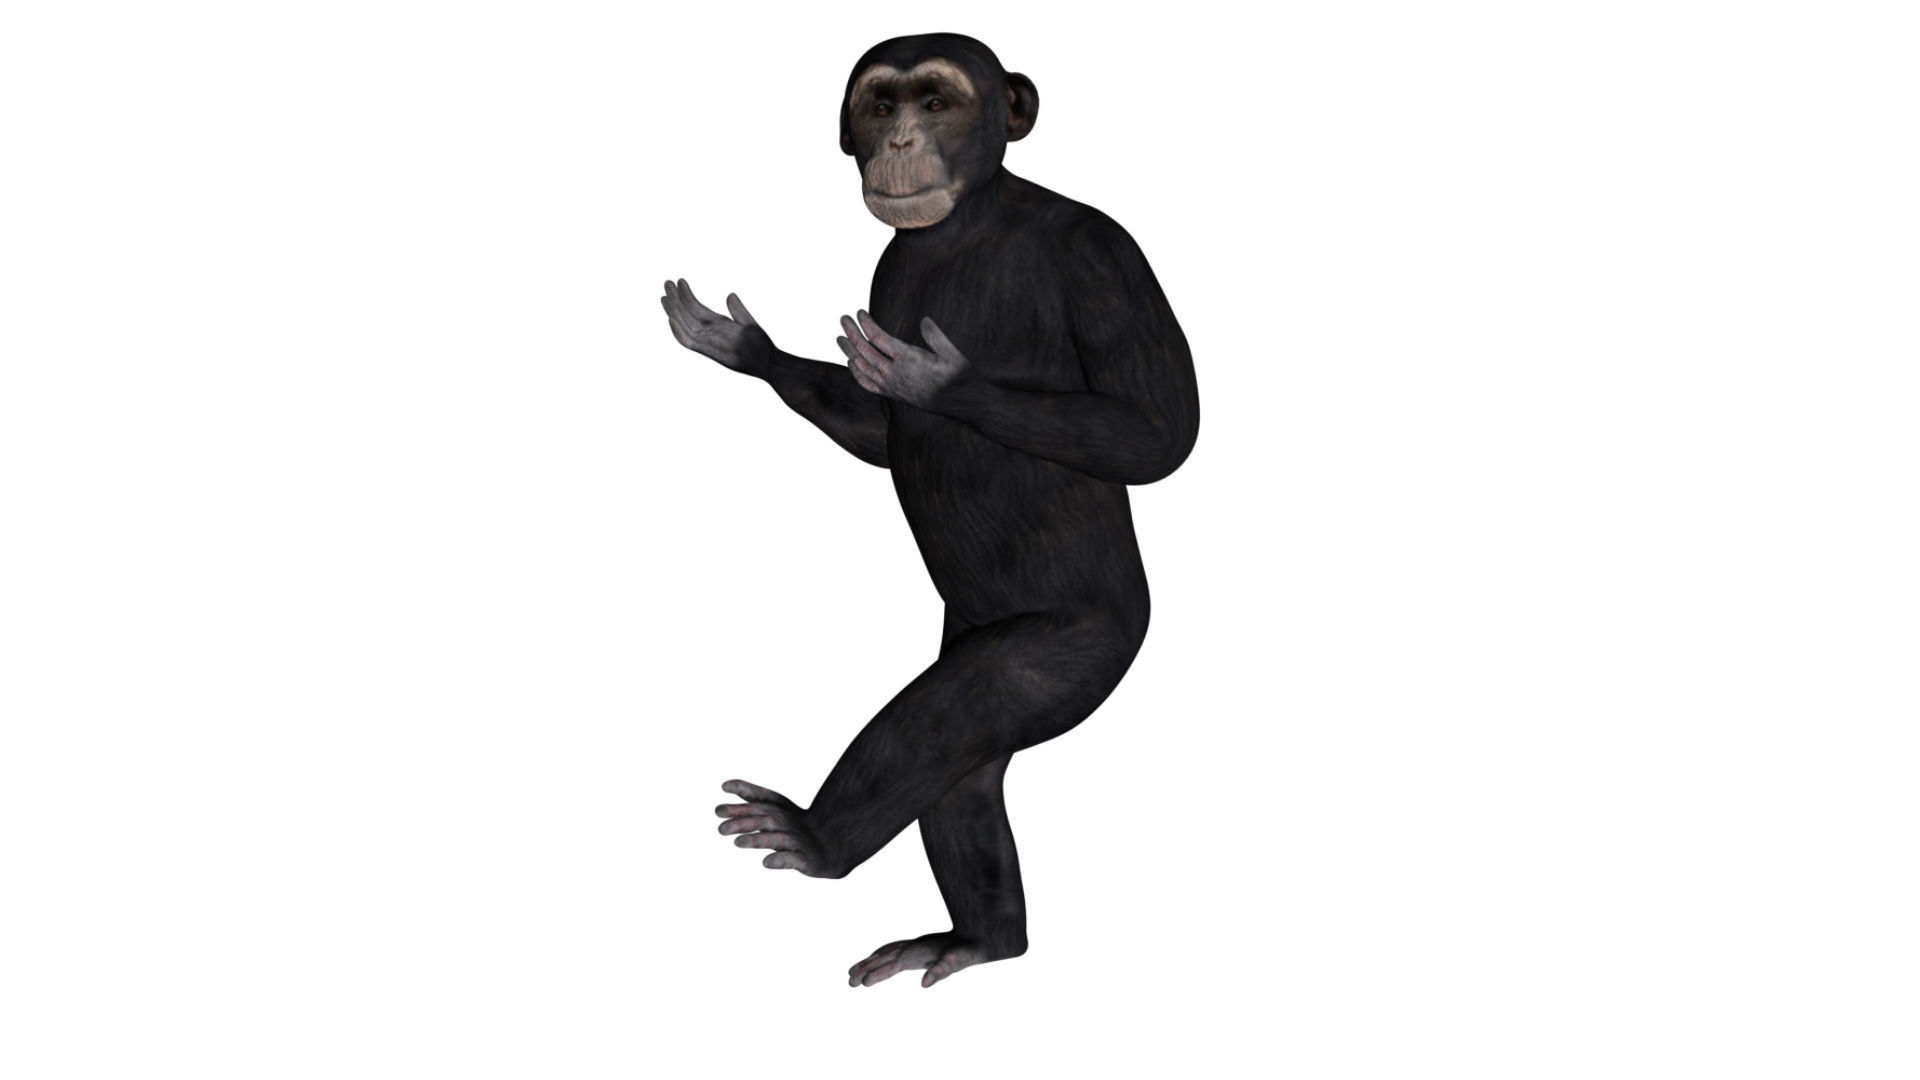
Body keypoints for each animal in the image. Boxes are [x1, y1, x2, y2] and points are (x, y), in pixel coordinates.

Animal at [659, 32, 1198, 988]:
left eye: (937, 102)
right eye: (881, 105)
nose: (902, 139)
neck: (970, 222)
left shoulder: (1108, 256)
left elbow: (1162, 431)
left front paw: (939, 380)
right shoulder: (888, 269)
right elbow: (881, 434)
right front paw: (748, 347)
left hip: (1082, 643)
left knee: (958, 712)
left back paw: (816, 840)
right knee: (966, 780)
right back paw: (981, 939)